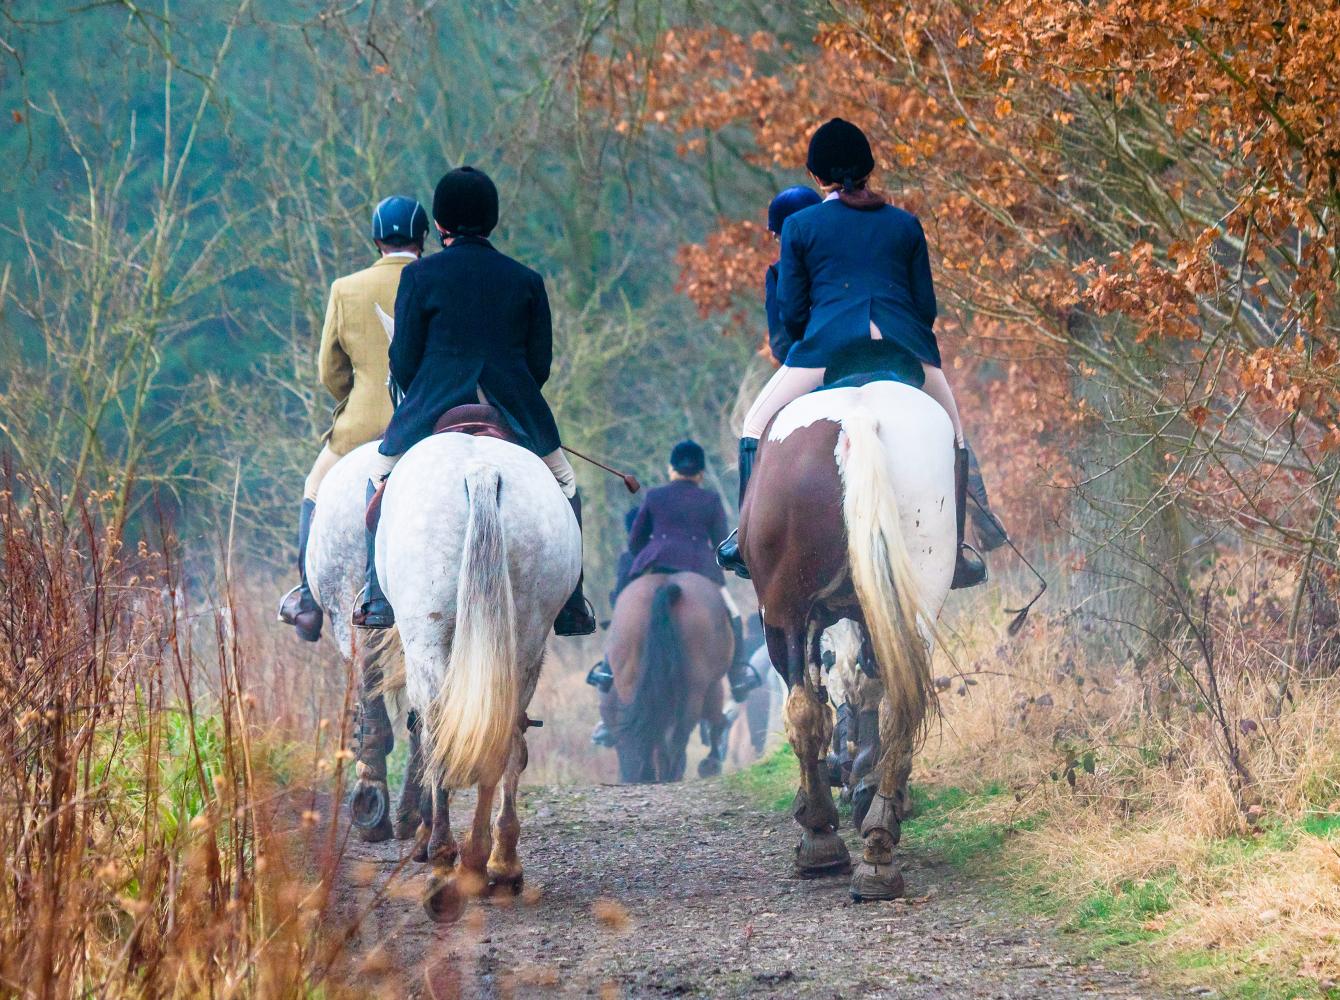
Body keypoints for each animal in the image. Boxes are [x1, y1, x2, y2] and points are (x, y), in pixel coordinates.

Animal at [605, 573, 734, 782]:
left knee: (651, 728)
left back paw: (649, 773)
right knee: (680, 732)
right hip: (695, 687)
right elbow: (716, 720)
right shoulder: (713, 684)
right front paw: (712, 762)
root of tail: (666, 585)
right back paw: (672, 773)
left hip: (630, 681)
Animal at [739, 380, 959, 895]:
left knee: (804, 709)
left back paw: (823, 836)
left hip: (783, 610)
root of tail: (858, 418)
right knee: (900, 709)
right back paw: (879, 844)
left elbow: (822, 704)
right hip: (915, 592)